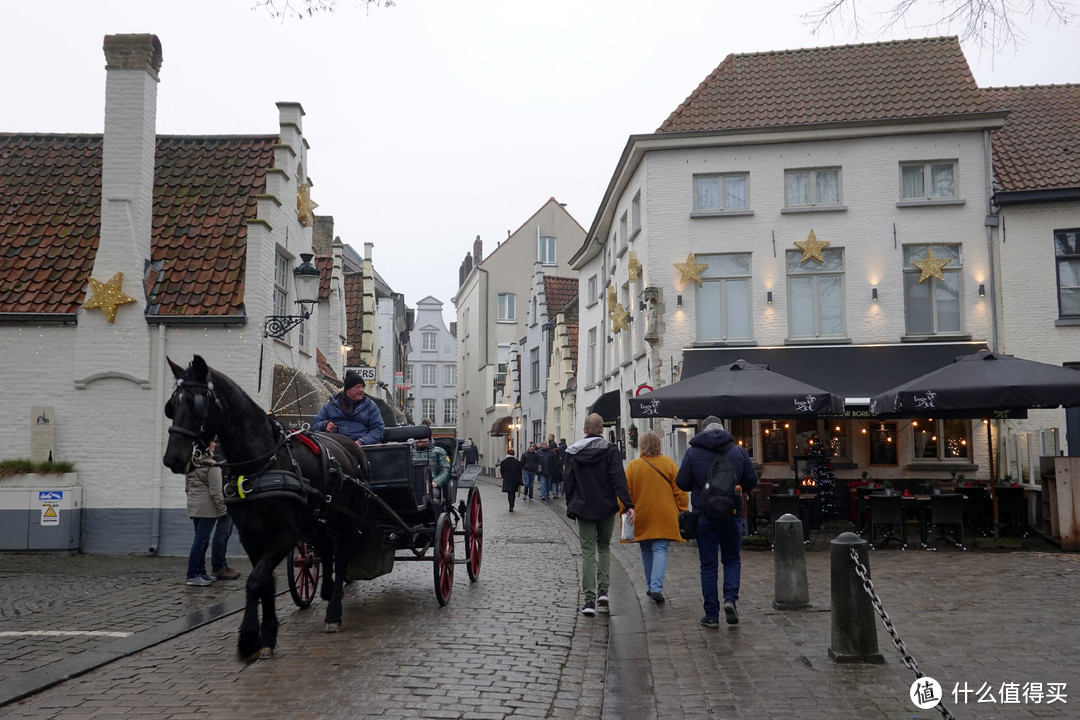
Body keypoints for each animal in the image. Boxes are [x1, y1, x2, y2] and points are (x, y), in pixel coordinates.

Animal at [160, 354, 371, 660]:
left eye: (198, 403)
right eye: (172, 405)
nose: (173, 458)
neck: (260, 463)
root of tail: (351, 447)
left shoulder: (285, 534)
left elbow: (256, 580)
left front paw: (248, 638)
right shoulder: (251, 535)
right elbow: (265, 583)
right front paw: (267, 637)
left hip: (343, 521)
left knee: (341, 557)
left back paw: (333, 613)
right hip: (318, 521)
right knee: (326, 550)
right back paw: (327, 590)